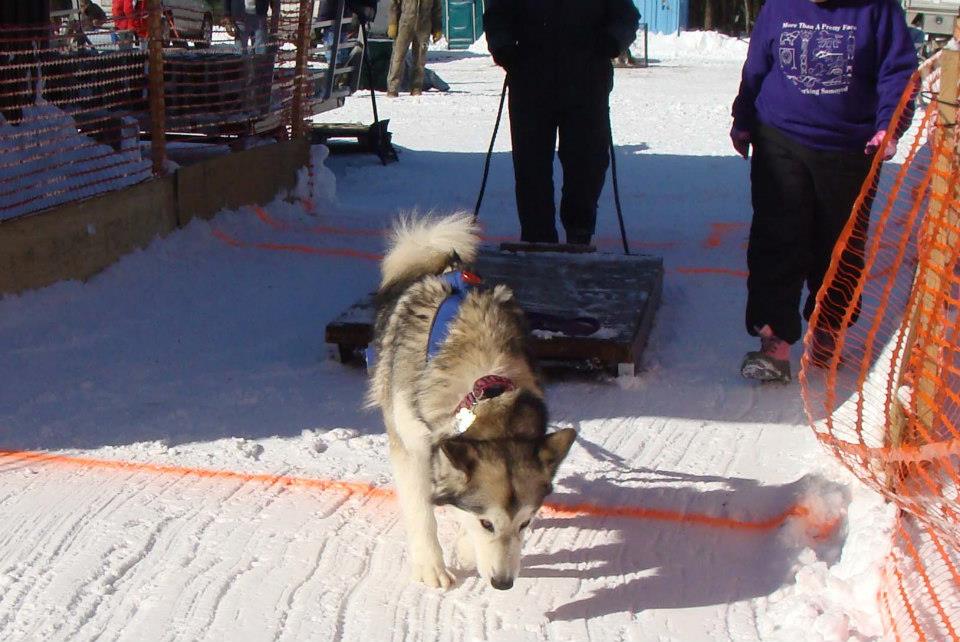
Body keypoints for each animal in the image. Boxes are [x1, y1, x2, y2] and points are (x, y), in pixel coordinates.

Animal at [368, 212, 572, 588]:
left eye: (525, 523)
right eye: (487, 523)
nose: (503, 583)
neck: (486, 386)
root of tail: (449, 264)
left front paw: (464, 545)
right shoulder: (412, 447)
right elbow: (421, 510)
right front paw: (431, 566)